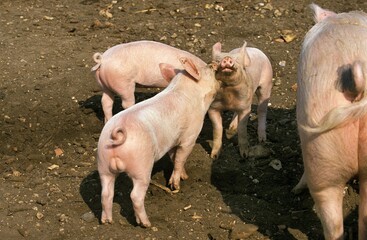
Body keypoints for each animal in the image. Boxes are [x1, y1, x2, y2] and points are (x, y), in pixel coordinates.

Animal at [96, 57, 220, 228]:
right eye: (209, 69)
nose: (215, 63)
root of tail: (116, 135)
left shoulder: (172, 140)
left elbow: (174, 157)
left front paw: (185, 176)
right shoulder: (190, 136)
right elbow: (180, 158)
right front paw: (176, 185)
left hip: (103, 163)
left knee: (106, 193)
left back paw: (107, 221)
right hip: (141, 166)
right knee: (135, 195)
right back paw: (146, 224)